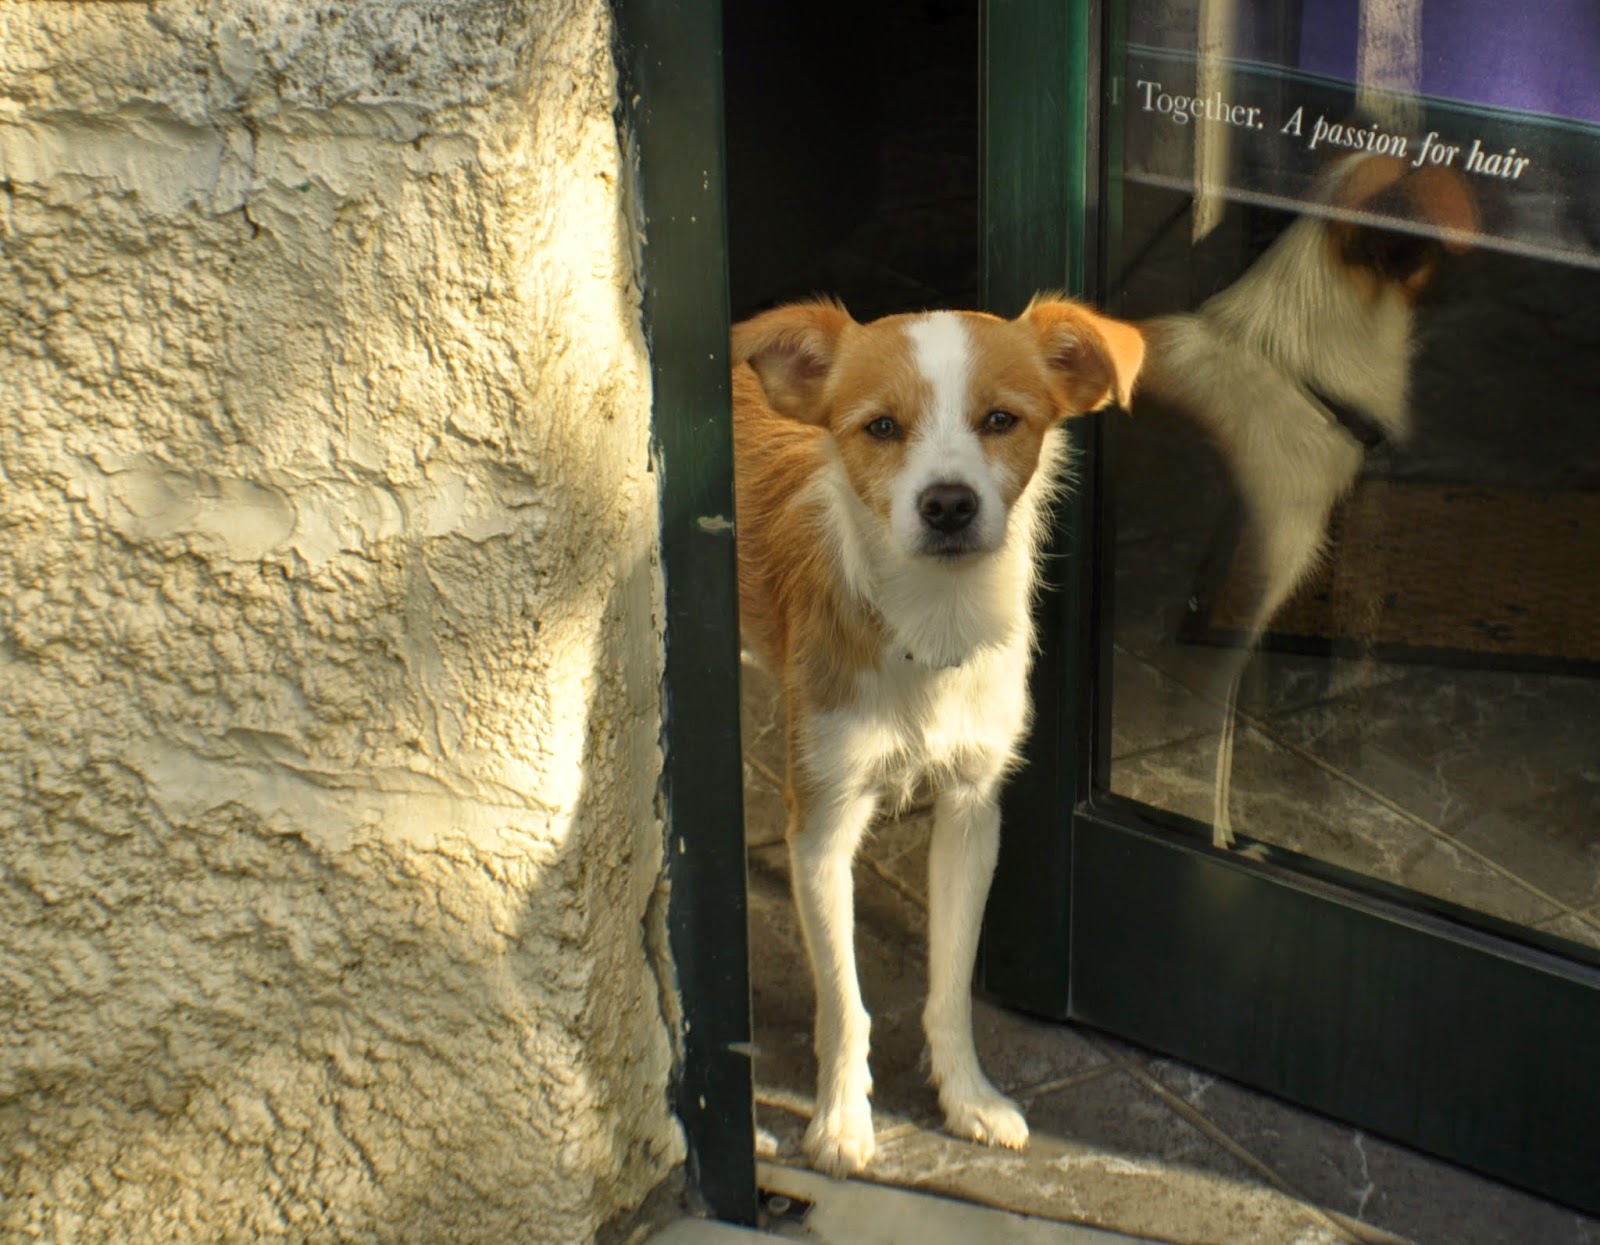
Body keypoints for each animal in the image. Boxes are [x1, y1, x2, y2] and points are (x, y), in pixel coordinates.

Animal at [730, 296, 1145, 1176]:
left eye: (1001, 420)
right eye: (881, 427)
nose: (948, 503)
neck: (930, 621)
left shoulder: (971, 810)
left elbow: (951, 980)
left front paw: (966, 1096)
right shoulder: (823, 826)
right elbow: (845, 998)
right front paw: (841, 1122)